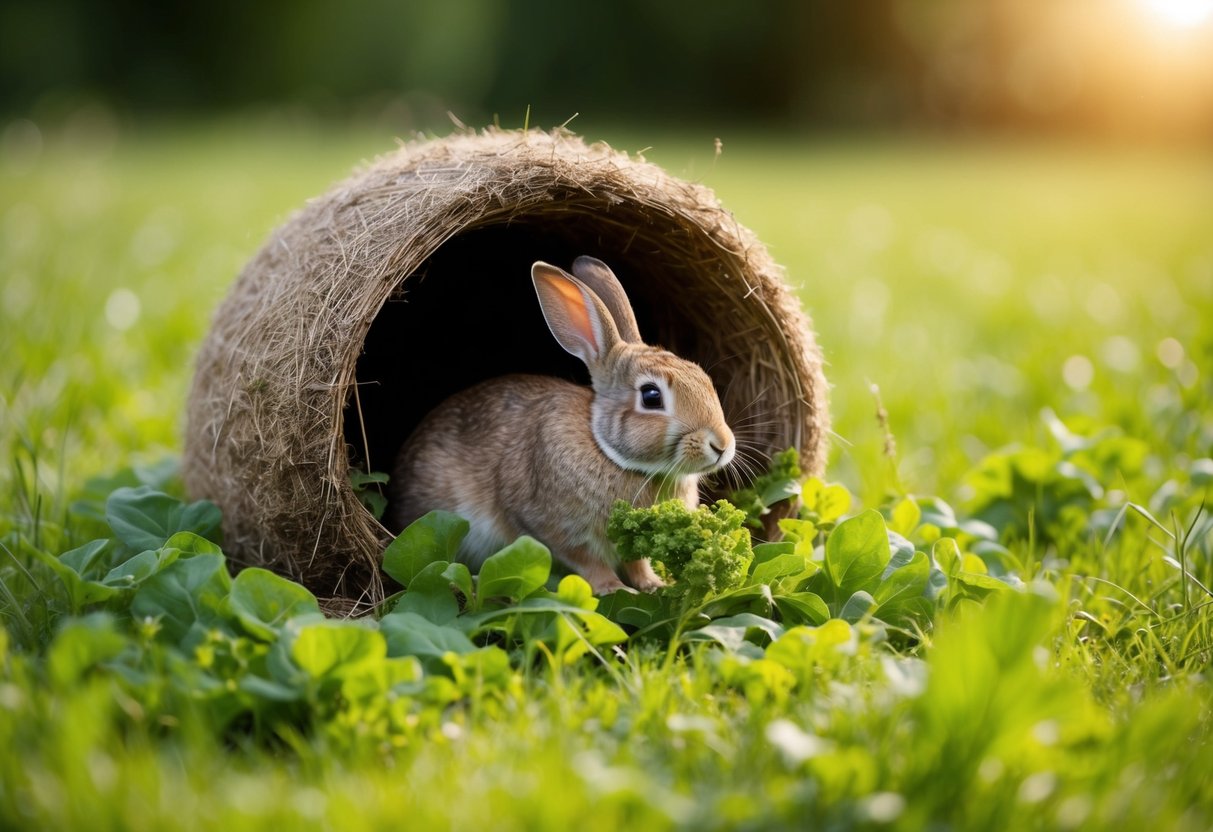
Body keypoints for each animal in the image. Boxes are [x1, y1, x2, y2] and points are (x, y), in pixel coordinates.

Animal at [390, 256, 736, 594]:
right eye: (651, 397)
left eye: (704, 378)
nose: (721, 444)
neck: (606, 450)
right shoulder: (546, 524)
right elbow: (585, 560)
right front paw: (615, 589)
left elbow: (636, 561)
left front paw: (653, 584)